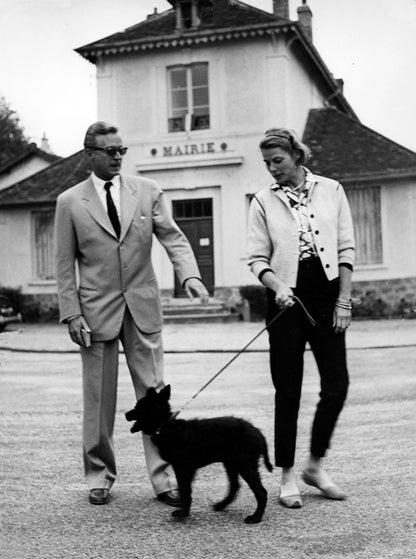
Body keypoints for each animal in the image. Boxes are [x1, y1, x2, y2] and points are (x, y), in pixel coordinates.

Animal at [125, 384, 272, 524]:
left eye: (138, 408)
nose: (126, 414)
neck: (164, 426)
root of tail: (258, 432)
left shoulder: (184, 468)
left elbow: (185, 491)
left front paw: (183, 513)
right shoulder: (183, 469)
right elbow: (184, 490)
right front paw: (185, 511)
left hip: (245, 464)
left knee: (261, 492)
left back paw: (255, 517)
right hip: (231, 463)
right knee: (235, 486)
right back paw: (221, 505)